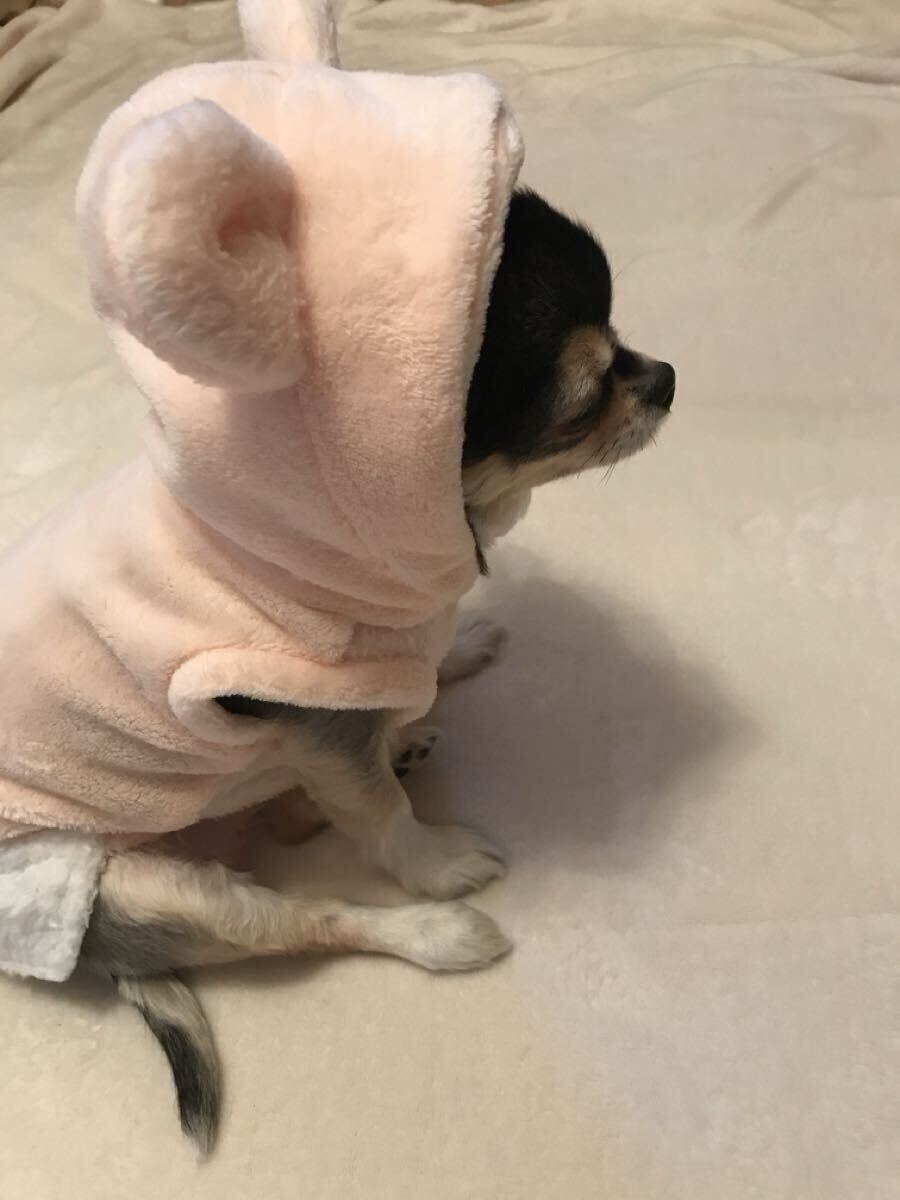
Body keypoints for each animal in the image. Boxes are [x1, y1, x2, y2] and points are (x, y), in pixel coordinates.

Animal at [74, 185, 674, 1151]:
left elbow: (414, 666)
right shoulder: (310, 719)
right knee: (316, 920)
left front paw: (451, 652)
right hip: (150, 893)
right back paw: (441, 930)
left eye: (622, 337)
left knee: (299, 818)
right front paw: (434, 858)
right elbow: (378, 815)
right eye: (582, 407)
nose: (665, 377)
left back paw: (399, 740)